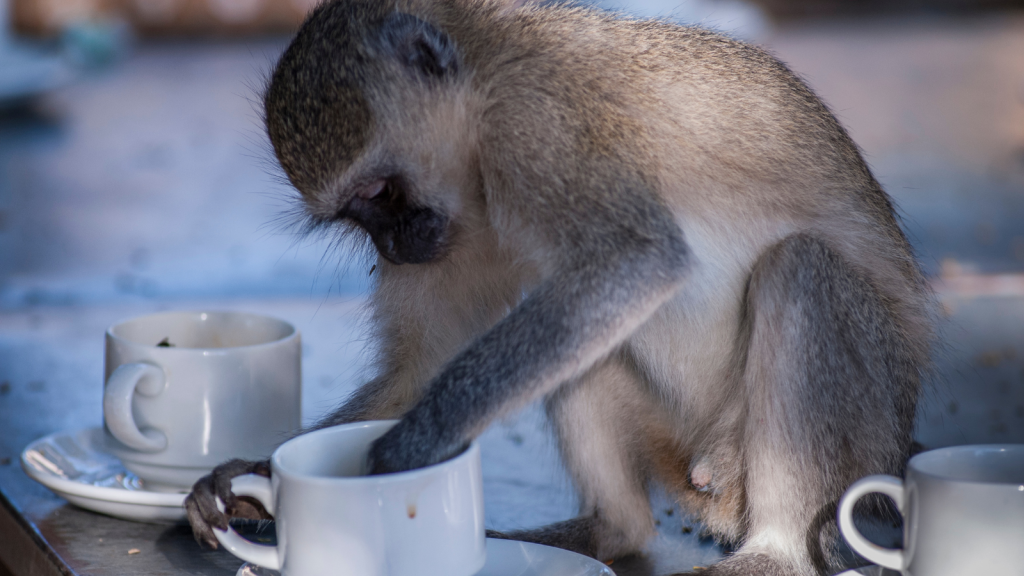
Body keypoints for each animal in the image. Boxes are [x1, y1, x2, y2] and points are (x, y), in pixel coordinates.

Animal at [184, 2, 929, 569]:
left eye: (378, 192)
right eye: (356, 214)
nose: (394, 248)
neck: (484, 75)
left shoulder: (533, 129)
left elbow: (635, 262)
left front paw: (410, 448)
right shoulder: (460, 227)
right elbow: (424, 365)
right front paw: (247, 480)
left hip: (855, 432)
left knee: (800, 270)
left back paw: (775, 554)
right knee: (579, 345)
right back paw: (607, 531)